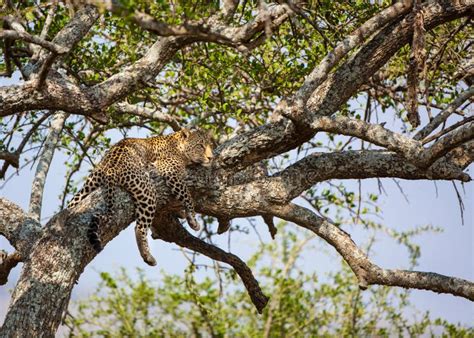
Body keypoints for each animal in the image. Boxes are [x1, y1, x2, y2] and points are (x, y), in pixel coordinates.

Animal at [67, 128, 215, 266]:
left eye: (210, 145)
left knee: (71, 205)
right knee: (140, 228)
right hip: (147, 189)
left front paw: (181, 213)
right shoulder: (170, 171)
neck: (179, 146)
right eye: (200, 146)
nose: (211, 158)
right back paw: (147, 256)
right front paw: (192, 219)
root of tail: (111, 168)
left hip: (88, 185)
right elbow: (186, 195)